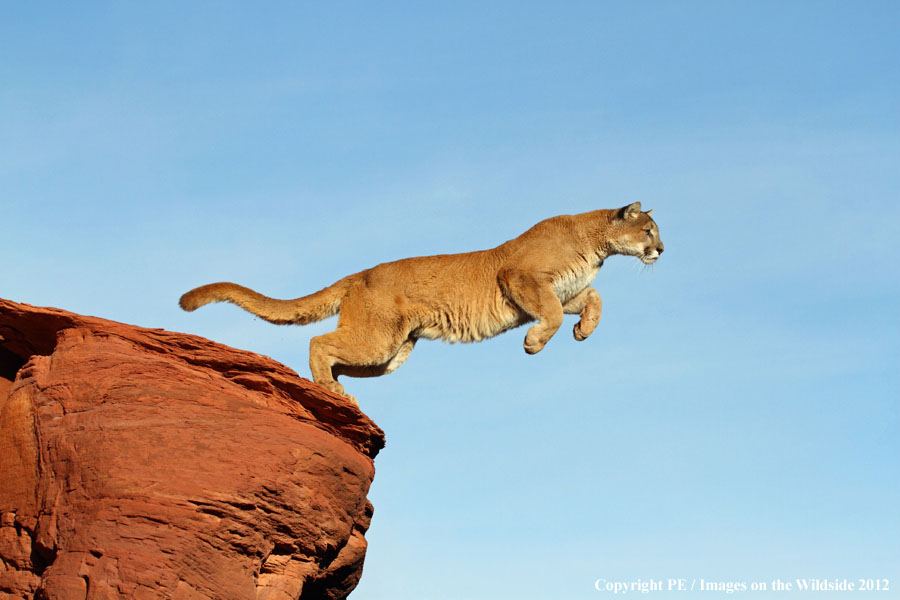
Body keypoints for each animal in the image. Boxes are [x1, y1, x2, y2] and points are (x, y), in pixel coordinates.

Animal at [181, 203, 660, 404]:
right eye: (649, 231)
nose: (662, 250)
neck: (594, 244)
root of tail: (360, 273)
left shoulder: (560, 290)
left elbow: (592, 298)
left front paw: (585, 329)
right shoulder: (520, 279)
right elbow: (555, 313)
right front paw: (534, 343)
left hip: (389, 353)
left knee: (336, 352)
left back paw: (339, 392)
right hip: (378, 340)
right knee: (319, 341)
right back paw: (330, 390)